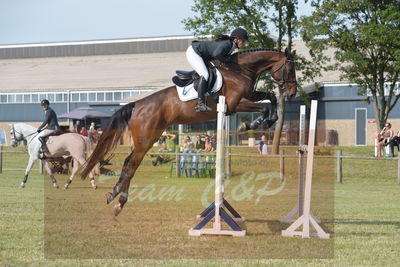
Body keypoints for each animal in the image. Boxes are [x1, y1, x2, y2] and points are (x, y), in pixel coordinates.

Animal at [81, 48, 296, 218]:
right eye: (290, 68)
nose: (292, 93)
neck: (240, 70)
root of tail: (137, 105)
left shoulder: (248, 96)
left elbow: (270, 98)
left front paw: (269, 120)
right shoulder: (235, 103)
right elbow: (264, 106)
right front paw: (250, 124)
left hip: (151, 137)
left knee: (130, 163)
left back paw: (118, 202)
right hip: (145, 140)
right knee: (130, 164)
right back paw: (116, 196)